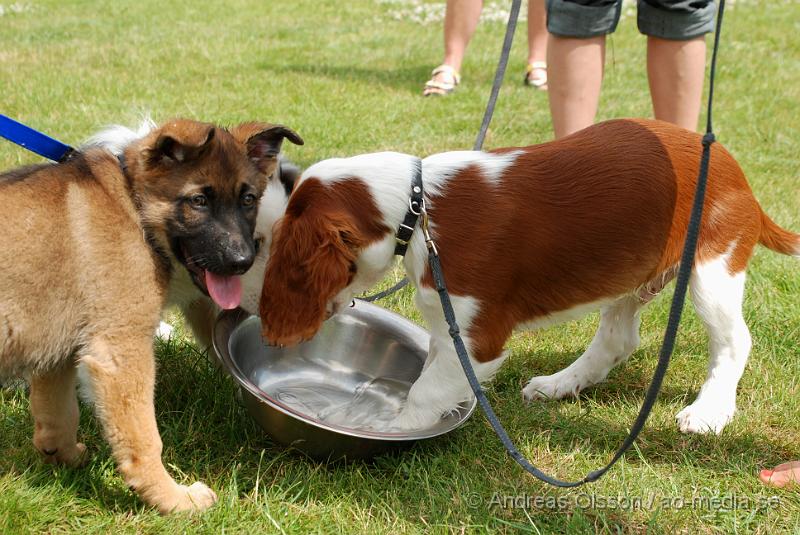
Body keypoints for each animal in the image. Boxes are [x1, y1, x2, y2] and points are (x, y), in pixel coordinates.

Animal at [0, 118, 300, 516]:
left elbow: (58, 414)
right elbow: (144, 438)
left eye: (248, 200)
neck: (133, 206)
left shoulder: (60, 347)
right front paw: (172, 499)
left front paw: (63, 455)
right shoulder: (121, 351)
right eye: (198, 201)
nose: (242, 262)